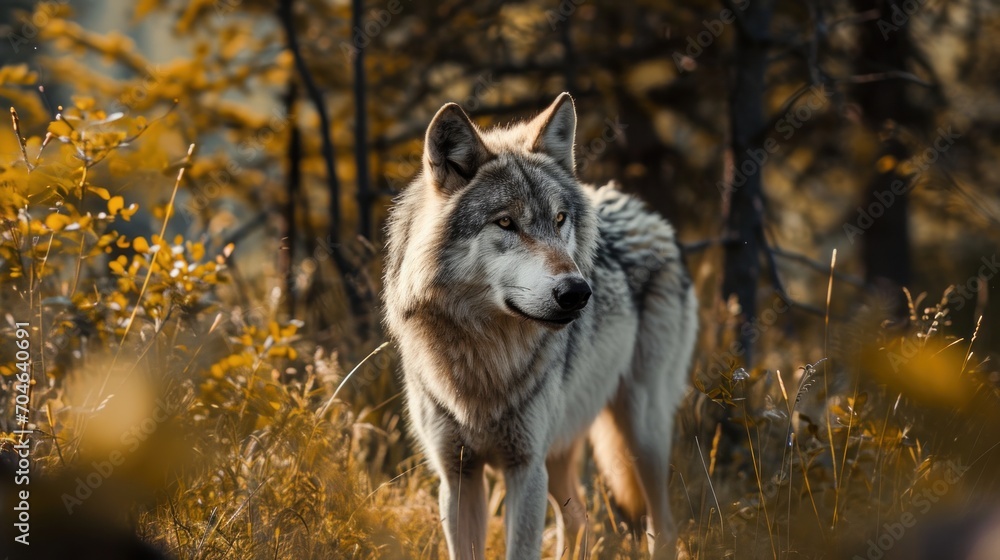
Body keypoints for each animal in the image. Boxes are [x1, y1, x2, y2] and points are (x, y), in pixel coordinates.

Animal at [382, 94, 696, 556]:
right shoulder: (458, 475)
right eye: (506, 222)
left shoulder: (525, 468)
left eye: (561, 218)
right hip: (562, 452)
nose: (577, 292)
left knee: (665, 524)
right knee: (580, 518)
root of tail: (649, 214)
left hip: (642, 430)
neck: (485, 354)